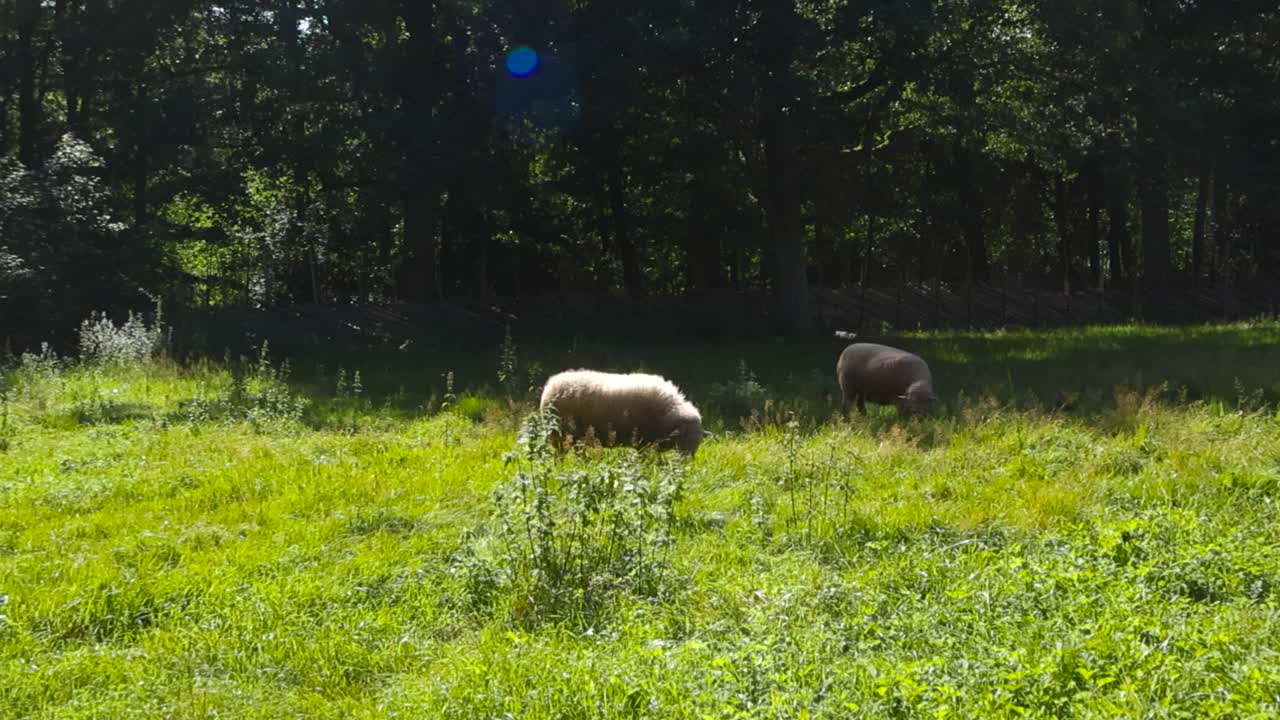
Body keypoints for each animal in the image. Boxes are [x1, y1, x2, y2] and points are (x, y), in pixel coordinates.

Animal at [538, 369, 709, 456]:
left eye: (698, 443)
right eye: (684, 439)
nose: (684, 465)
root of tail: (551, 384)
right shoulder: (642, 441)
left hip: (576, 435)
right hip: (559, 433)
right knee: (560, 454)